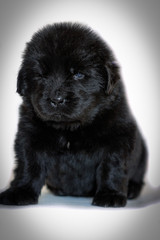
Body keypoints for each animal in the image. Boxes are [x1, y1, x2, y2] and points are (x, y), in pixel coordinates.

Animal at [0, 22, 148, 206]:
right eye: (41, 75)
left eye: (78, 74)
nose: (57, 99)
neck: (70, 129)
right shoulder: (29, 136)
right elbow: (28, 166)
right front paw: (20, 191)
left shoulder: (118, 137)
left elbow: (112, 166)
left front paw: (110, 195)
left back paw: (133, 189)